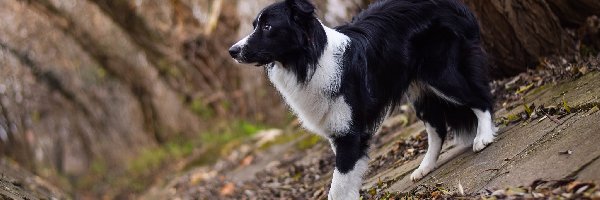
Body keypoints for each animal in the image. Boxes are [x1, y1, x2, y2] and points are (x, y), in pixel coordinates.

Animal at [227, 0, 494, 198]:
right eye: (255, 25)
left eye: (268, 27)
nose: (232, 51)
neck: (308, 60)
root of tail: (455, 4)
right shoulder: (339, 131)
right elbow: (347, 182)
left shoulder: (349, 134)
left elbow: (337, 188)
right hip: (418, 89)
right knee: (437, 127)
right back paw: (425, 167)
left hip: (441, 73)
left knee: (480, 98)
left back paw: (483, 137)